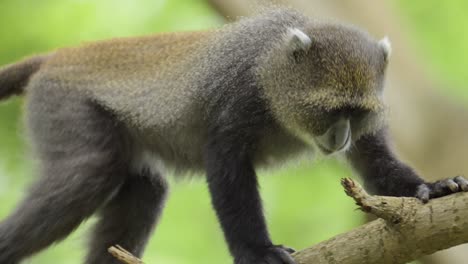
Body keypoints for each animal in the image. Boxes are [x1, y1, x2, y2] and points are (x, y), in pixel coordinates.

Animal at [0, 7, 468, 264]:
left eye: (356, 115)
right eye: (331, 111)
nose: (340, 139)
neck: (273, 74)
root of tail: (56, 58)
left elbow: (376, 165)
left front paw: (434, 186)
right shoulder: (240, 95)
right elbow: (226, 166)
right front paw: (256, 251)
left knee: (145, 189)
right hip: (65, 108)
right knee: (90, 173)